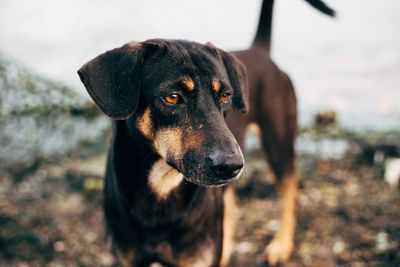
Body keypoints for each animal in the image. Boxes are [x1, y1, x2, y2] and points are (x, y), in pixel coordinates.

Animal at [78, 0, 334, 266]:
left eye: (226, 95)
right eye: (172, 97)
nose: (231, 165)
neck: (161, 183)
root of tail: (260, 51)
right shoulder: (127, 257)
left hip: (278, 143)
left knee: (291, 195)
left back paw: (281, 245)